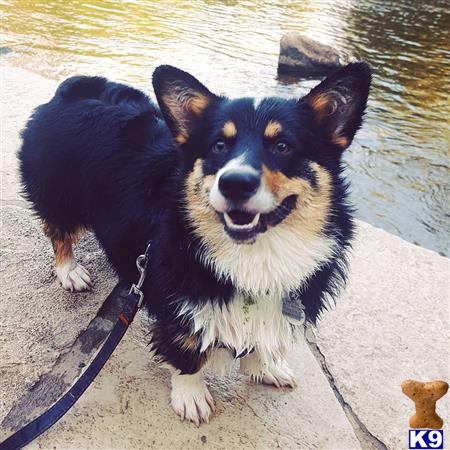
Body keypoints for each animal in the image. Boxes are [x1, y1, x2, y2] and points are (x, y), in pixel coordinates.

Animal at [18, 61, 370, 424]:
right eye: (218, 146)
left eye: (283, 146)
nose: (234, 183)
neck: (258, 253)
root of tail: (72, 89)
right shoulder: (178, 303)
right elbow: (186, 352)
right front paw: (191, 396)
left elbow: (261, 339)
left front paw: (267, 368)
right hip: (61, 196)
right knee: (57, 231)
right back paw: (69, 271)